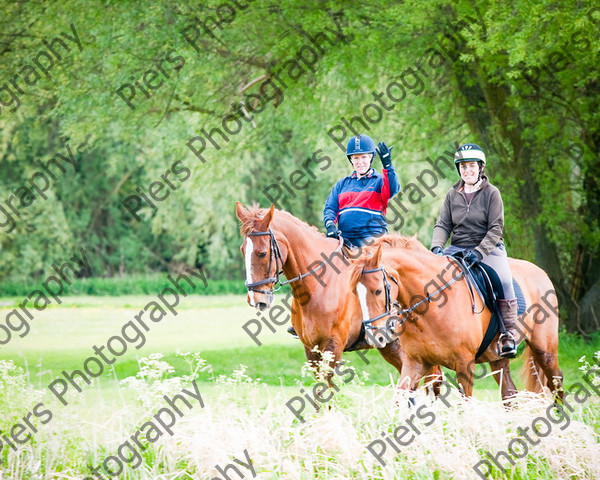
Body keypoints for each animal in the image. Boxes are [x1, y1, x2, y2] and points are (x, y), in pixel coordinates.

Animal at [237, 202, 442, 386]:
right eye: (242, 250)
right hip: (391, 346)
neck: (318, 285)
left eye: (262, 253)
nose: (256, 299)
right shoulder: (311, 349)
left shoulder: (333, 347)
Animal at [352, 237, 564, 402]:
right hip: (498, 358)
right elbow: (401, 398)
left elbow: (465, 405)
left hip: (544, 349)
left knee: (556, 380)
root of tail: (541, 273)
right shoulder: (415, 362)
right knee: (509, 394)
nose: (375, 336)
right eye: (356, 291)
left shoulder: (464, 365)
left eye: (378, 291)